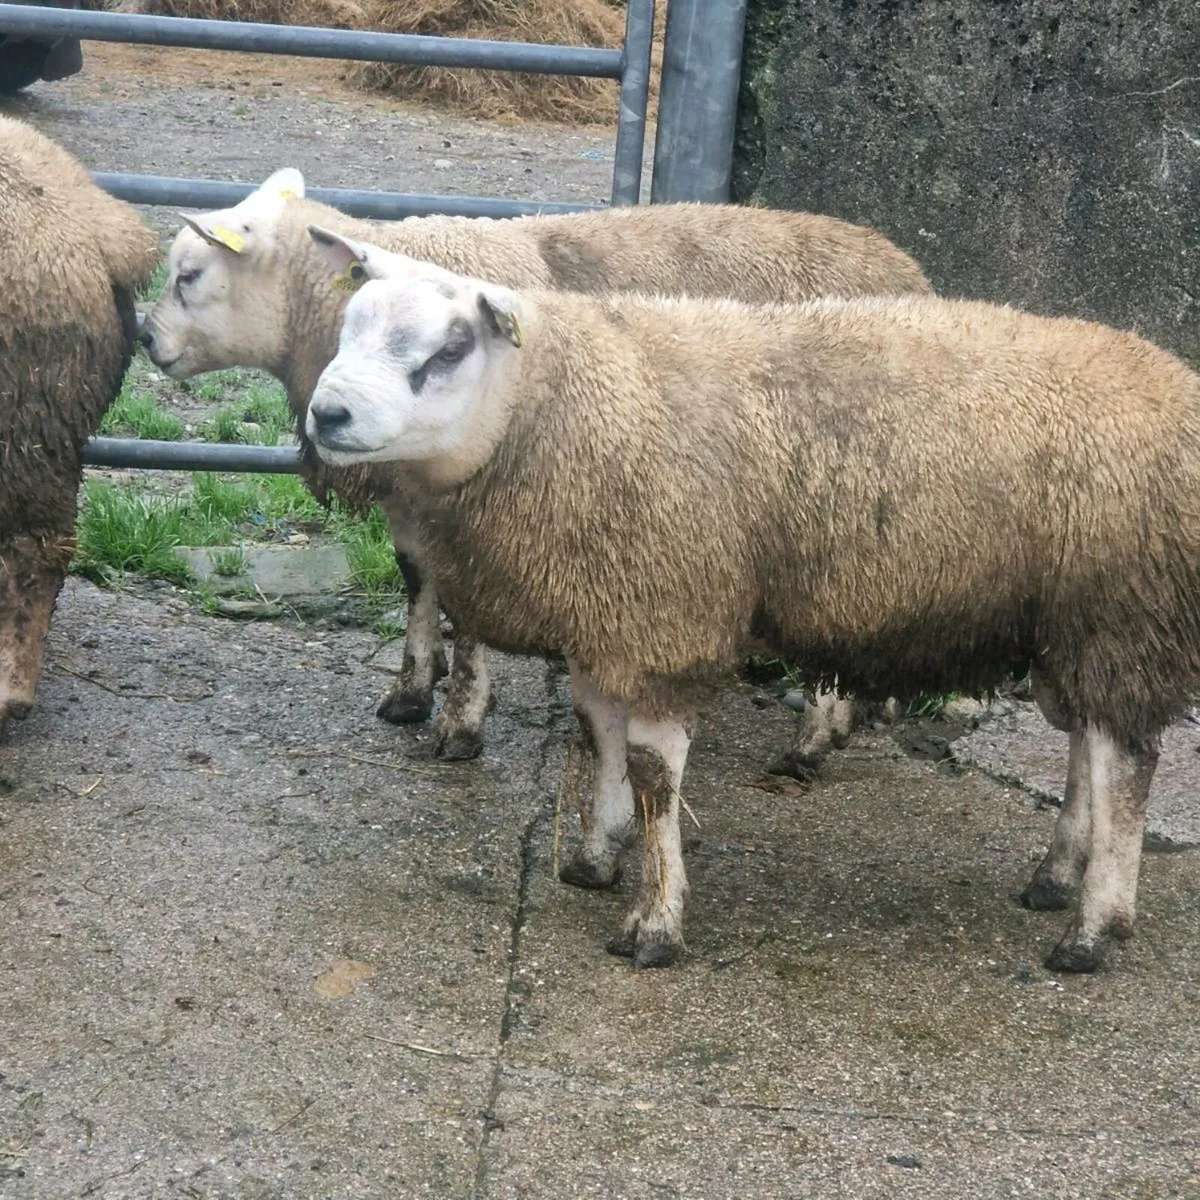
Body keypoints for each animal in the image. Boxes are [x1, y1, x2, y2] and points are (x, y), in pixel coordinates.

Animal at [138, 169, 929, 790]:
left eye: (190, 275)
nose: (144, 338)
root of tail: (904, 268)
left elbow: (462, 602)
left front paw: (461, 721)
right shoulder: (413, 491)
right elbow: (417, 578)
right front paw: (412, 687)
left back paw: (815, 739)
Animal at [303, 250, 1200, 975]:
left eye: (449, 349)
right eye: (348, 329)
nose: (326, 415)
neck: (565, 402)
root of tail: (1180, 384)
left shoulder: (665, 613)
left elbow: (653, 773)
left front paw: (654, 923)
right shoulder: (611, 615)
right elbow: (597, 736)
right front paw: (594, 857)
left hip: (1122, 609)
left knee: (1125, 762)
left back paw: (1093, 930)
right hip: (1076, 622)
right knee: (1088, 744)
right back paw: (1055, 877)